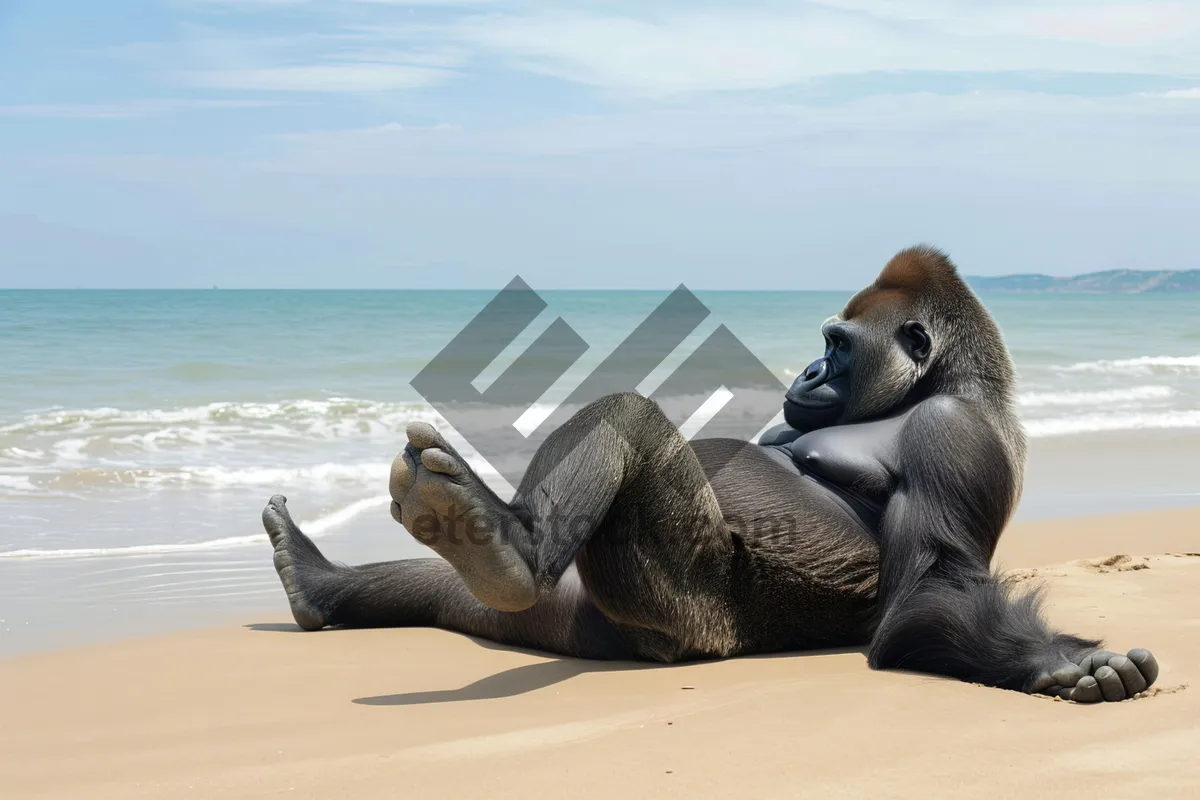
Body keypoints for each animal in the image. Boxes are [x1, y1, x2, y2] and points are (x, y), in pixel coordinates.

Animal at [260, 247, 1152, 705]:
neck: (953, 383)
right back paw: (325, 578)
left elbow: (935, 582)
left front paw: (1050, 663)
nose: (807, 369)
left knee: (626, 422)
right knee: (462, 598)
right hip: (590, 619)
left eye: (837, 344)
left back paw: (507, 550)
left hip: (688, 615)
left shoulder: (954, 434)